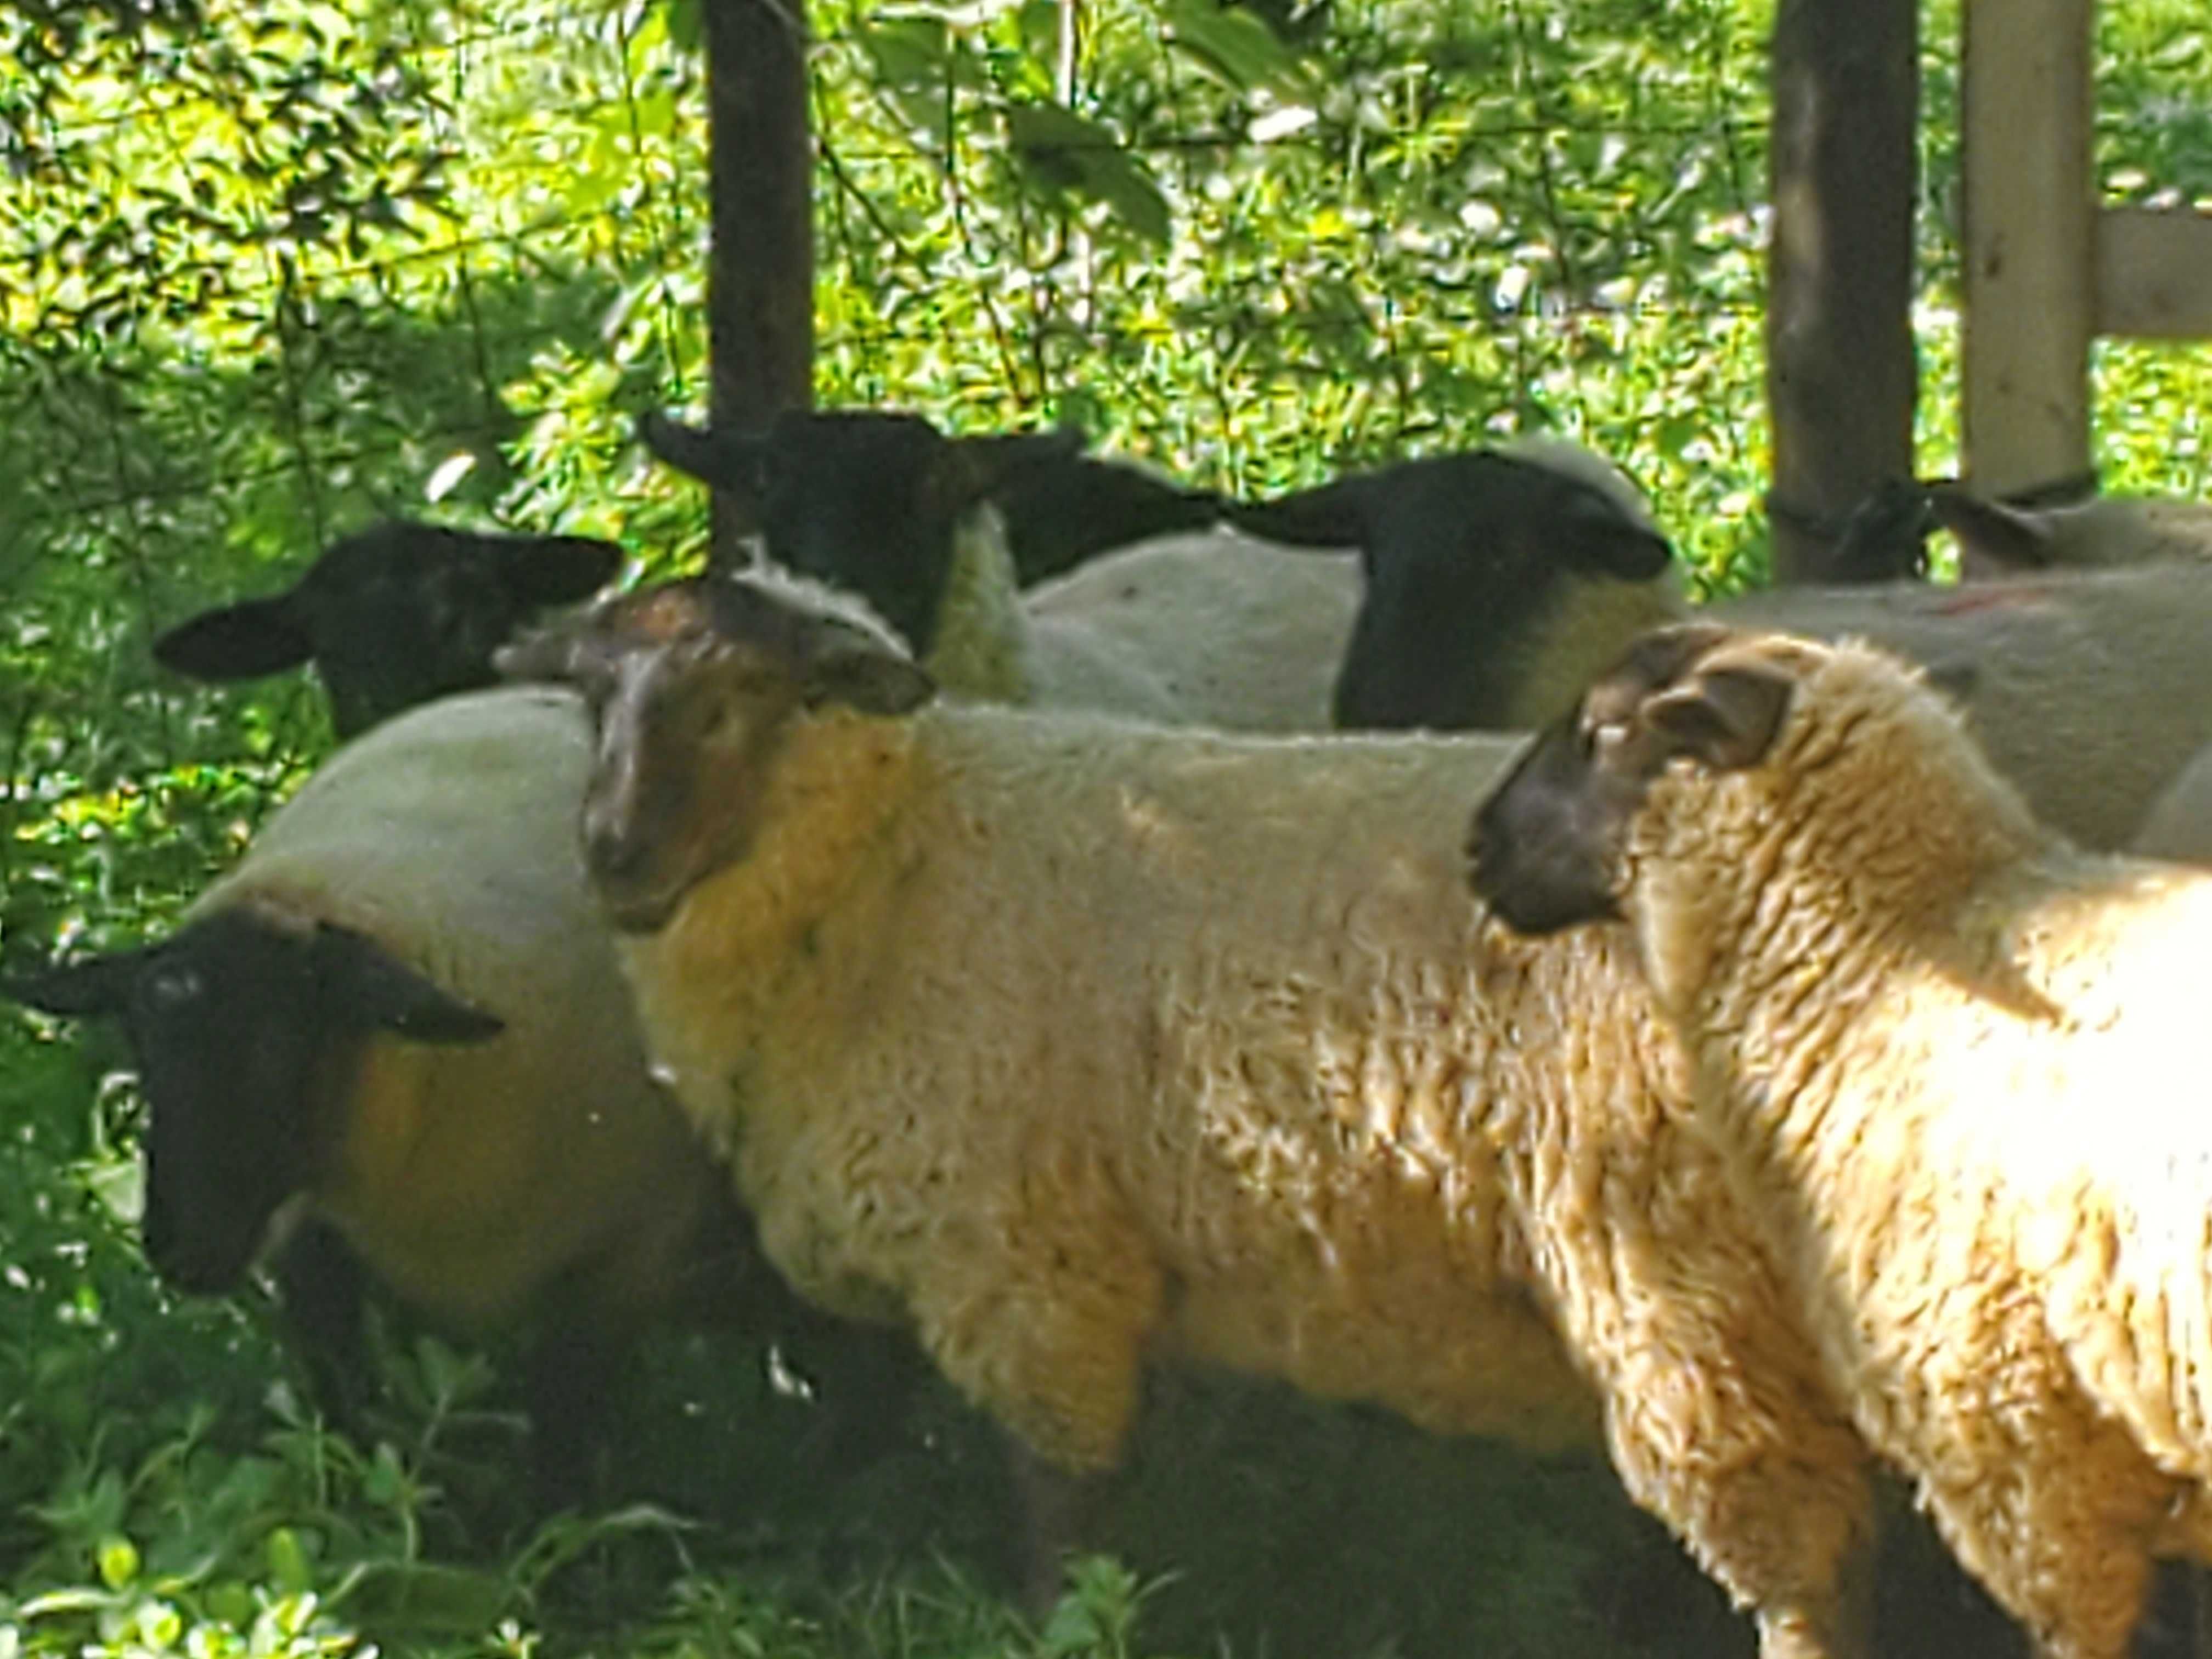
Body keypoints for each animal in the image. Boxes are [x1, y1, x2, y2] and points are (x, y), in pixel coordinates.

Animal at [498, 575, 1884, 1659]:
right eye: (592, 699)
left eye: (743, 697)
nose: (612, 856)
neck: (900, 858)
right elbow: (859, 1441)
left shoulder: (1030, 1265)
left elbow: (1060, 1512)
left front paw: (1063, 1629)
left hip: (1685, 1279)